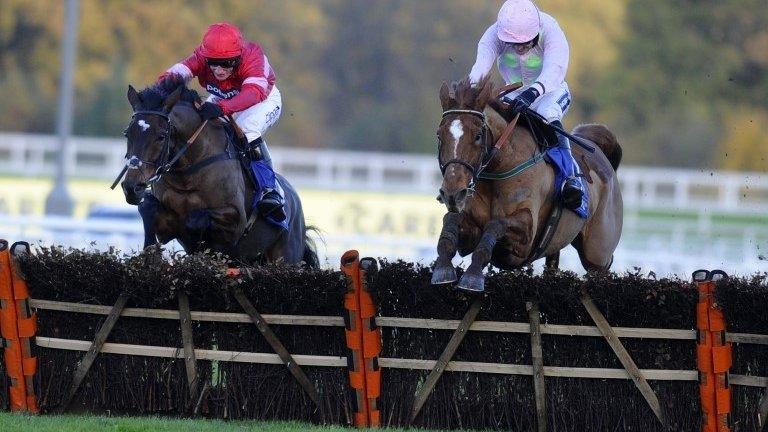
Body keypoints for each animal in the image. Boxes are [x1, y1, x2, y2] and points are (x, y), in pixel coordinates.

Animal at [118, 76, 316, 268]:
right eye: (127, 133)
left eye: (161, 136)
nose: (132, 187)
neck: (187, 175)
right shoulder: (166, 223)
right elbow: (147, 207)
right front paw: (150, 256)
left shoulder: (236, 221)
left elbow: (196, 219)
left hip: (286, 256)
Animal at [432, 76, 624, 292]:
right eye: (439, 135)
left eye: (478, 136)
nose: (452, 193)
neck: (500, 167)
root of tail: (599, 150)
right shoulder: (469, 232)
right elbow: (451, 220)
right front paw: (443, 269)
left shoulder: (525, 239)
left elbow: (496, 224)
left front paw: (472, 276)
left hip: (597, 254)